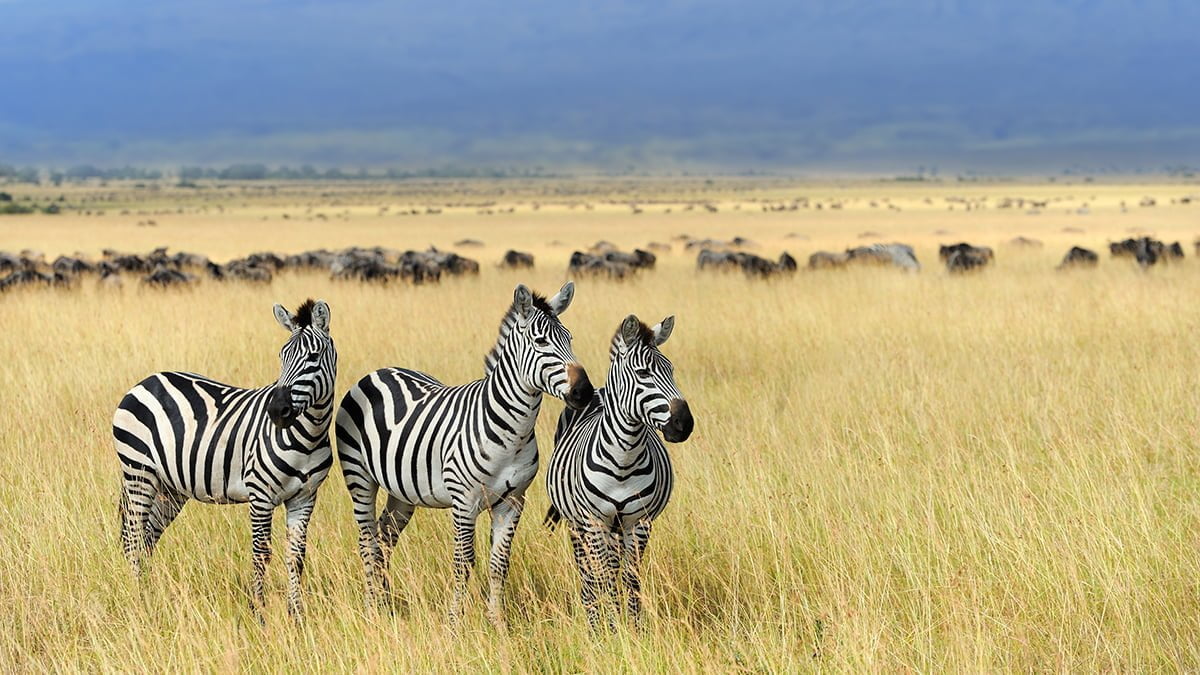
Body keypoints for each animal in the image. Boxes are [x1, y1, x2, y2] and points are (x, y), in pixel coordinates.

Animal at [110, 296, 336, 619]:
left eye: (314, 357)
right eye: (282, 356)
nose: (277, 410)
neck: (308, 435)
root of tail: (146, 381)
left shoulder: (304, 497)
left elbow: (296, 556)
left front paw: (296, 616)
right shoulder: (260, 494)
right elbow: (261, 553)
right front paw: (259, 613)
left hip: (170, 487)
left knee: (147, 538)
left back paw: (149, 597)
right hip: (138, 472)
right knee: (132, 538)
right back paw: (138, 601)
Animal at [336, 278, 592, 624]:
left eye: (570, 339)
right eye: (540, 342)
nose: (584, 392)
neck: (512, 432)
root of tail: (378, 371)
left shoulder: (513, 502)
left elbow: (499, 564)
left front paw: (497, 622)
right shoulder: (464, 502)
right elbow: (464, 562)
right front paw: (454, 623)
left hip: (402, 492)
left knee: (385, 537)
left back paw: (385, 604)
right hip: (360, 478)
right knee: (368, 541)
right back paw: (370, 610)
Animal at [544, 312, 696, 629]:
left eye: (671, 370)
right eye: (643, 373)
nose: (684, 424)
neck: (623, 460)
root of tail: (597, 391)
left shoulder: (639, 522)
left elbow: (630, 577)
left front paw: (634, 628)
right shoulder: (594, 521)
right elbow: (603, 577)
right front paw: (611, 628)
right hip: (577, 524)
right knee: (588, 573)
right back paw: (592, 617)